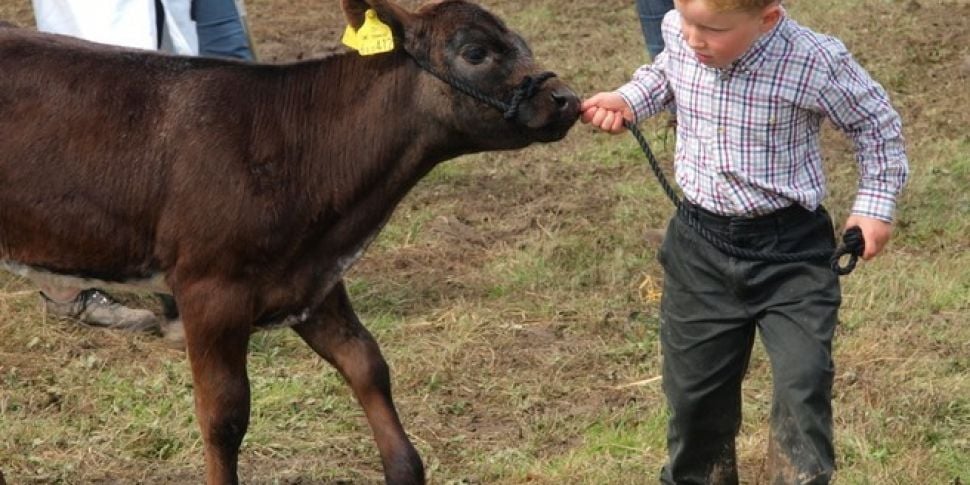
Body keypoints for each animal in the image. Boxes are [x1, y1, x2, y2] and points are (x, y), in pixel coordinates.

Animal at [0, 1, 576, 482]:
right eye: (476, 52)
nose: (565, 98)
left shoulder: (311, 278)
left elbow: (368, 364)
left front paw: (404, 466)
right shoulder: (211, 287)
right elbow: (224, 415)